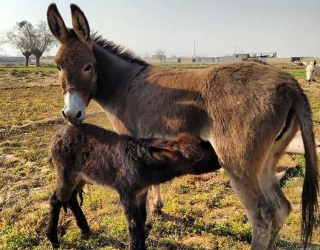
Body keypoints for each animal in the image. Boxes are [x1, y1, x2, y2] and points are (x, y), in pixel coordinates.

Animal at [46, 123, 220, 250]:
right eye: (196, 156)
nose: (220, 160)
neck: (143, 161)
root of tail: (58, 134)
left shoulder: (141, 192)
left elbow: (142, 219)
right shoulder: (126, 193)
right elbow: (134, 224)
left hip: (81, 177)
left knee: (71, 197)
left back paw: (84, 228)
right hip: (65, 172)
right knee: (56, 199)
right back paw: (54, 240)